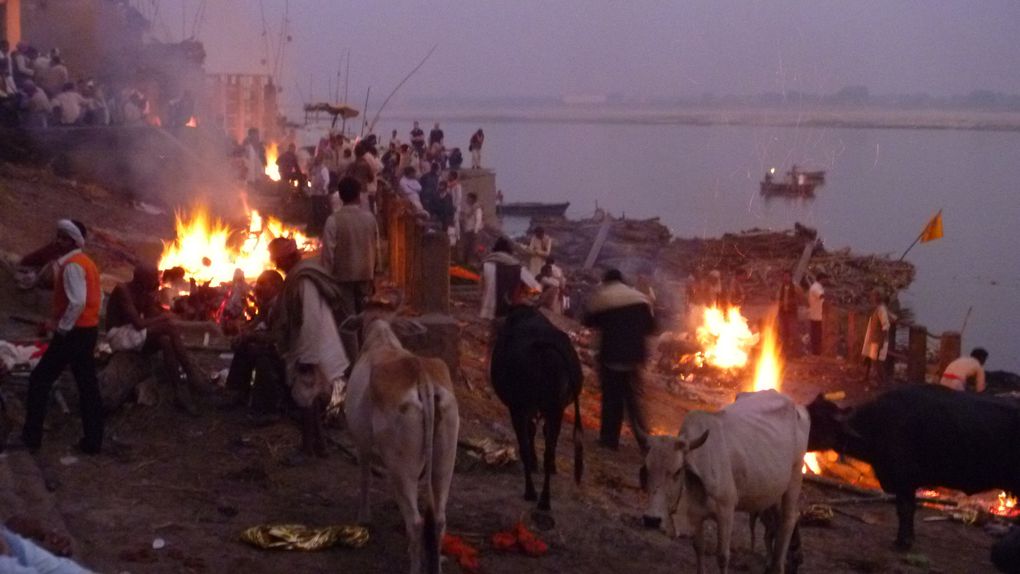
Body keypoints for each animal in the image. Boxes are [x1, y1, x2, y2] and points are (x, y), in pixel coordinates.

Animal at [344, 318, 461, 574]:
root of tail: (422, 376)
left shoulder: (362, 441)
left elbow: (365, 478)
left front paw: (363, 517)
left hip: (400, 465)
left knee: (416, 522)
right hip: (444, 460)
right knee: (438, 519)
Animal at [491, 305, 587, 511]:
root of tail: (542, 344)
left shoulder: (523, 408)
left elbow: (530, 435)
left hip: (520, 408)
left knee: (525, 447)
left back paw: (531, 492)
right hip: (555, 409)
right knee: (549, 448)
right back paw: (544, 499)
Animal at [640, 389, 807, 570]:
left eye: (677, 471)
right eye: (647, 469)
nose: (651, 520)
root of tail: (796, 407)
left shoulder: (726, 511)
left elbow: (722, 556)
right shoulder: (696, 515)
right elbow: (698, 547)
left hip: (795, 478)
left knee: (789, 519)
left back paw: (778, 564)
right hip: (772, 490)